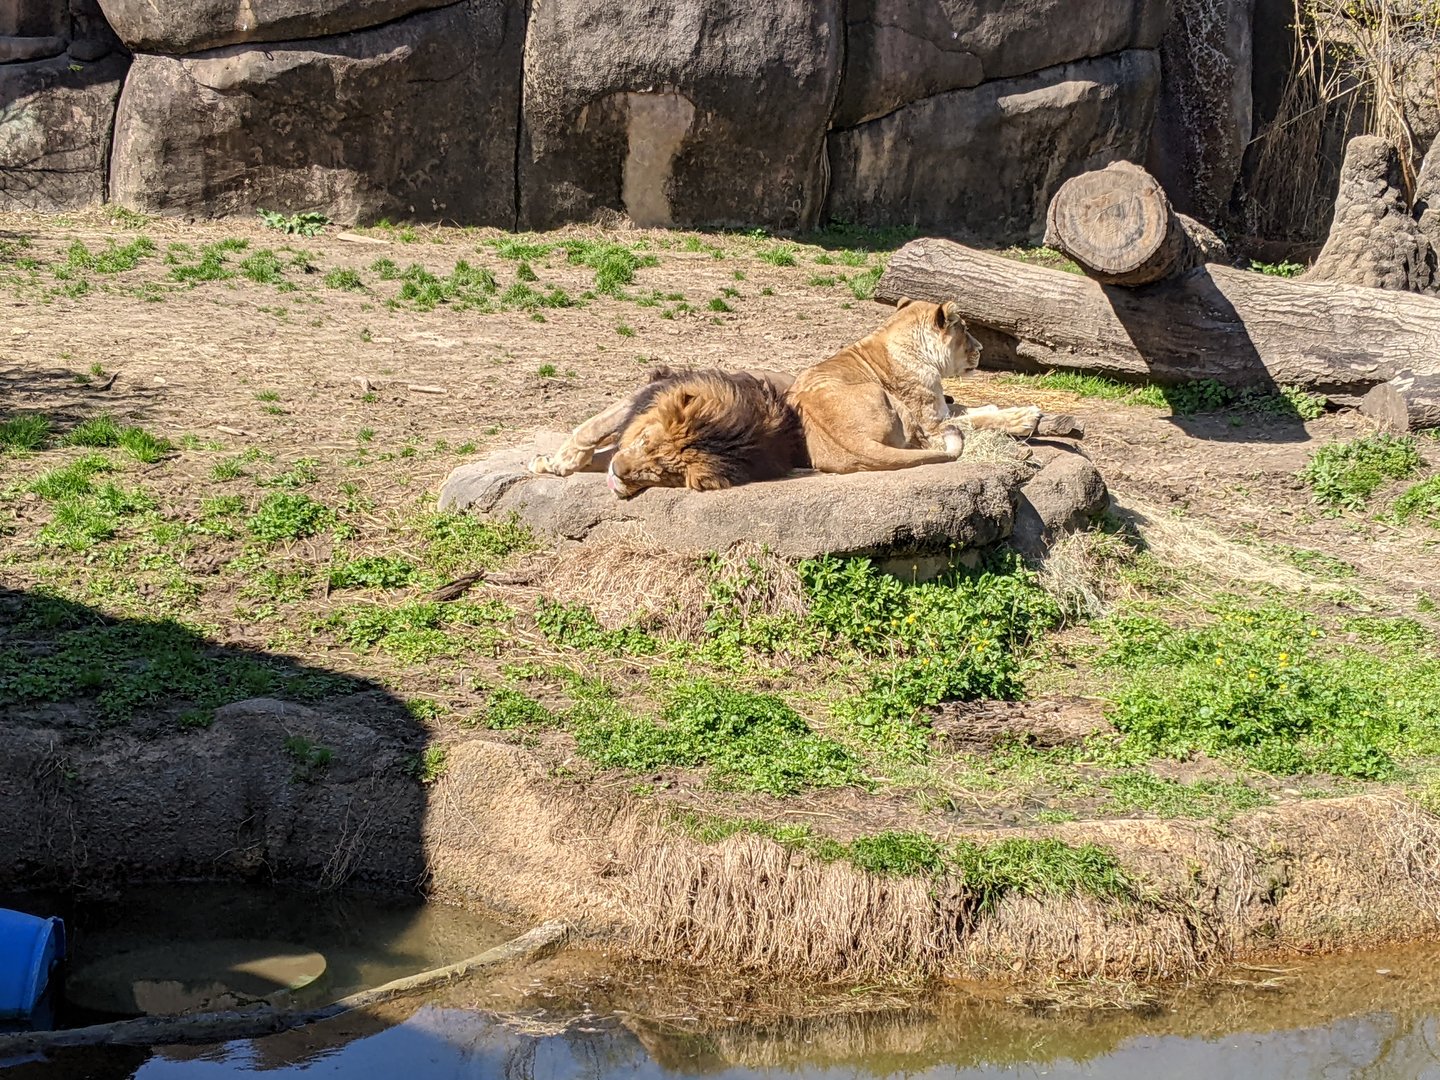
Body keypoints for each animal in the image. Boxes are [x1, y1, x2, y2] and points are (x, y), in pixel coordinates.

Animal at [529, 365, 807, 498]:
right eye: (645, 441)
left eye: (659, 473)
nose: (617, 472)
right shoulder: (648, 393)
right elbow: (591, 429)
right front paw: (556, 462)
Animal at [787, 297, 1045, 472]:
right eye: (965, 330)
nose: (980, 348)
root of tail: (854, 441)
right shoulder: (931, 421)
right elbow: (976, 419)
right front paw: (1025, 417)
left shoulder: (940, 406)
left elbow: (967, 408)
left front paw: (993, 407)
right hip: (891, 402)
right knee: (931, 442)